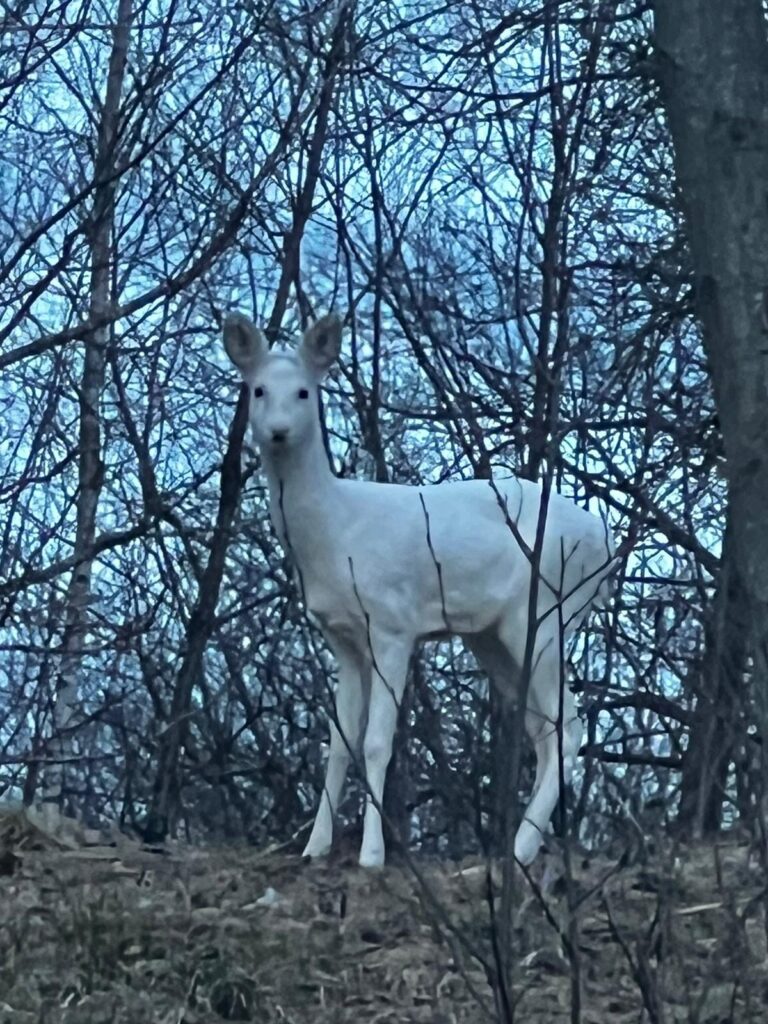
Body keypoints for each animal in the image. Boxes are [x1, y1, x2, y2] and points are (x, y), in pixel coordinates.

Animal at [221, 311, 614, 864]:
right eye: (257, 389)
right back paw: (516, 848)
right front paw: (314, 848)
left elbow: (376, 742)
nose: (277, 431)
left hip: (548, 611)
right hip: (493, 636)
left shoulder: (392, 624)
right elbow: (339, 741)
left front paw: (371, 856)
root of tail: (606, 540)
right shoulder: (342, 639)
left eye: (303, 391)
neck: (336, 532)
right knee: (542, 728)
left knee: (570, 724)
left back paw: (519, 849)